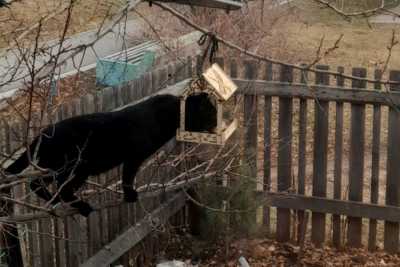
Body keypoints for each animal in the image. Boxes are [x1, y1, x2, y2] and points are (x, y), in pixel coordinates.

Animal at [3, 93, 216, 217]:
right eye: (211, 114)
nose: (216, 124)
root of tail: (41, 134)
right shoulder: (133, 157)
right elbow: (128, 177)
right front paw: (130, 194)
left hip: (56, 168)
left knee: (38, 184)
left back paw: (54, 201)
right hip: (75, 168)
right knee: (58, 188)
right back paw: (79, 205)